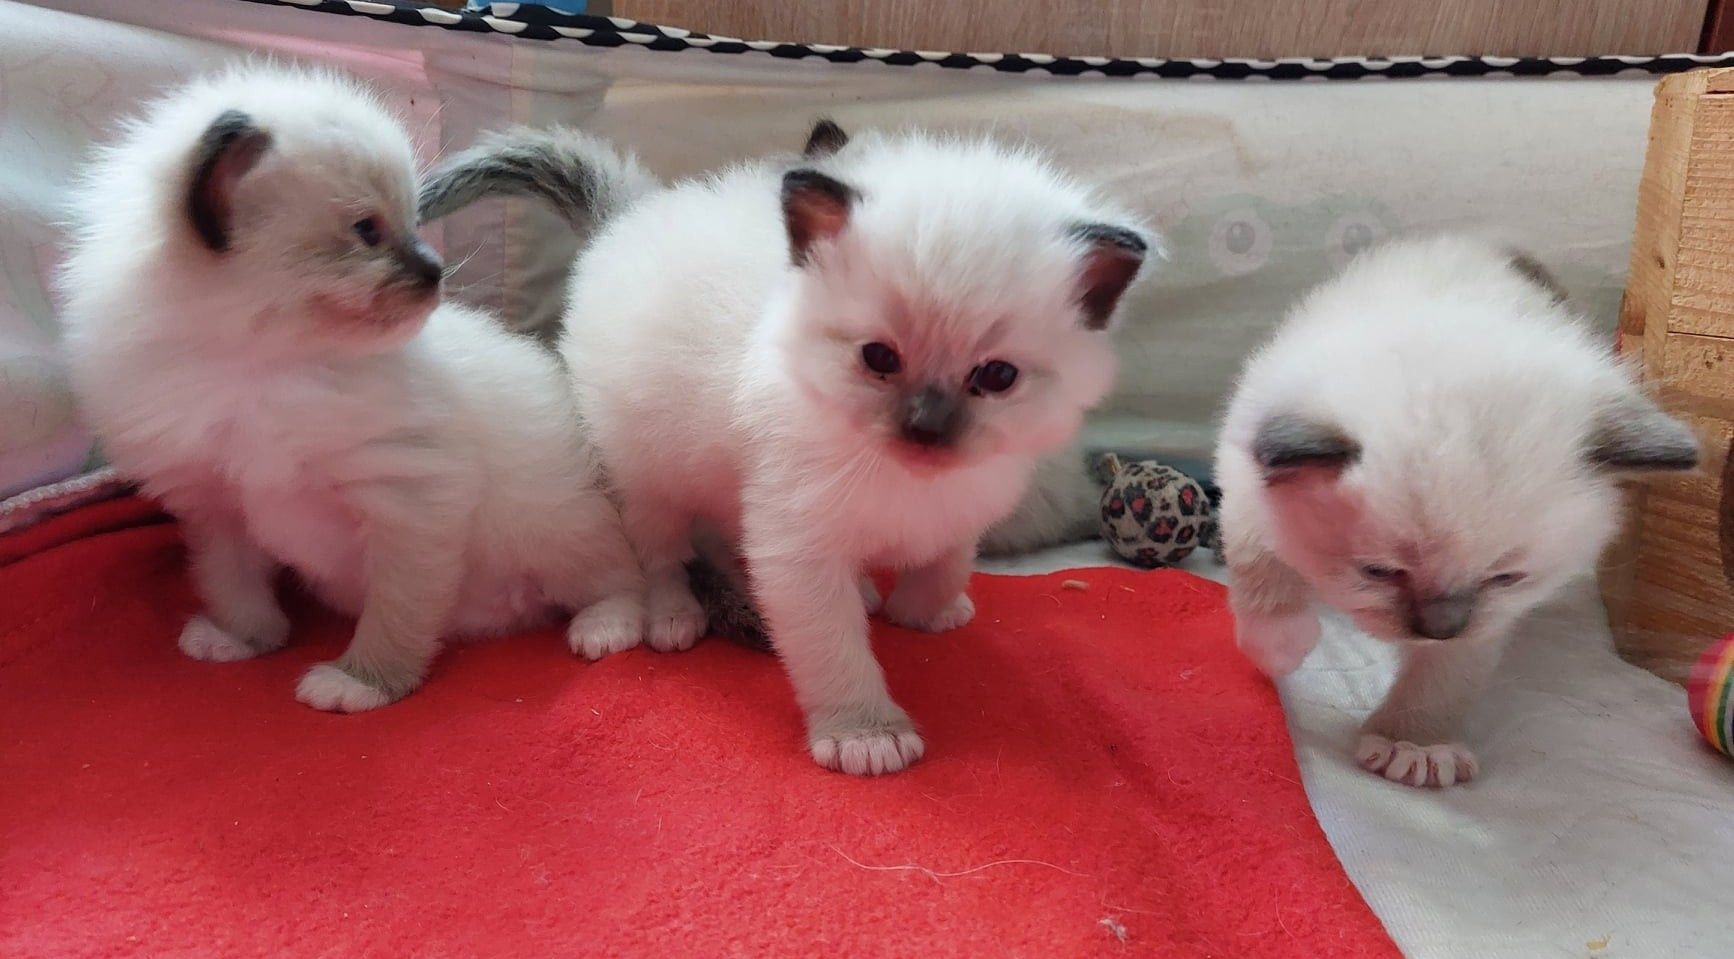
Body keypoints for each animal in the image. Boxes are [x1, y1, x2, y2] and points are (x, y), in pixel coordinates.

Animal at [57, 65, 651, 711]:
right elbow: (231, 582)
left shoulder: (409, 498)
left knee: (620, 574)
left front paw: (364, 682)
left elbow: (396, 609)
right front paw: (243, 640)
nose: (435, 272)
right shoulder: (215, 504)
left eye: (414, 221)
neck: (262, 370)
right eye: (367, 231)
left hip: (555, 527)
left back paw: (607, 626)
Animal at [419, 121, 1151, 776]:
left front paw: (927, 613)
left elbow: (944, 561)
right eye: (878, 358)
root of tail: (633, 215)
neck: (903, 479)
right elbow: (832, 646)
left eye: (996, 376)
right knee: (658, 555)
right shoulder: (796, 545)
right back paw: (673, 618)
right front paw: (864, 734)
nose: (925, 429)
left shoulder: (969, 500)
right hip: (644, 473)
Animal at [1213, 234, 1699, 783]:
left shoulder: (1489, 615)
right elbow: (1259, 571)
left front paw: (1414, 743)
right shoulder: (1244, 473)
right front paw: (1280, 648)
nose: (1440, 630)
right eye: (1379, 572)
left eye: (1505, 578)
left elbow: (1450, 672)